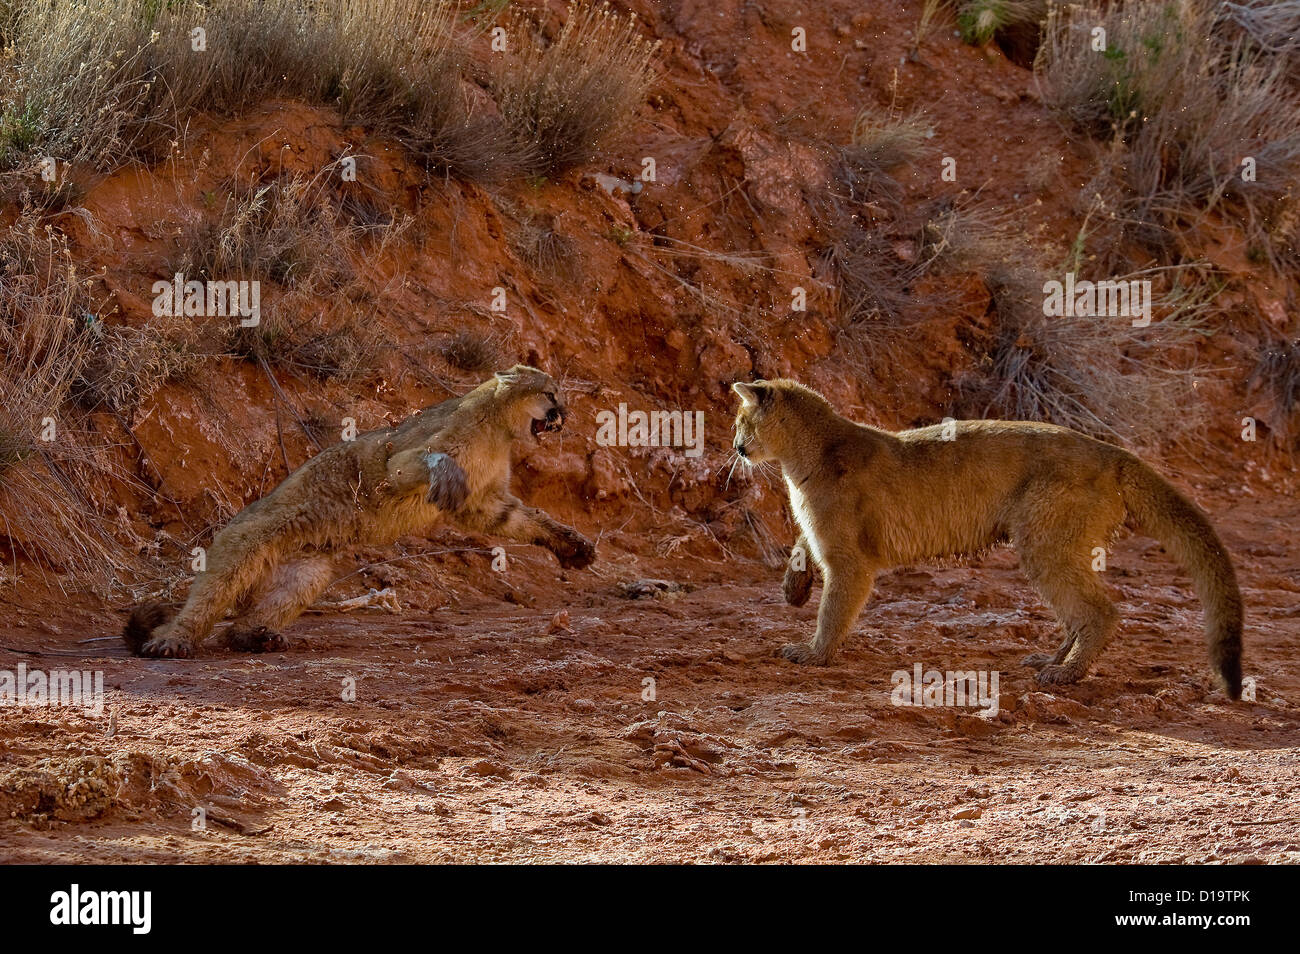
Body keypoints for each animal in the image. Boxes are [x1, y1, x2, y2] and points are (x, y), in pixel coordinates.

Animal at [125, 365, 595, 658]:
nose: (565, 416)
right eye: (550, 394)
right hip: (244, 545)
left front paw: (572, 546)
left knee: (241, 622)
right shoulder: (399, 462)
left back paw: (257, 636)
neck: (500, 429)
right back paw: (172, 641)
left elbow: (529, 521)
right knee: (205, 603)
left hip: (308, 572)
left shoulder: (487, 504)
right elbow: (432, 460)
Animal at [731, 378, 1243, 698]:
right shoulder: (821, 536)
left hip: (1044, 542)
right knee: (1081, 612)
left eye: (741, 422)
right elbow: (801, 544)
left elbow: (834, 609)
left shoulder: (849, 559)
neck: (805, 456)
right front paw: (793, 590)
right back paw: (1049, 660)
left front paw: (812, 653)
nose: (736, 447)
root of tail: (1113, 451)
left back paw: (1066, 673)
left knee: (1101, 610)